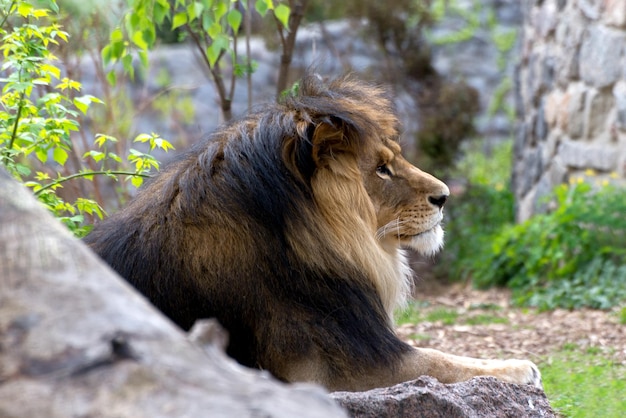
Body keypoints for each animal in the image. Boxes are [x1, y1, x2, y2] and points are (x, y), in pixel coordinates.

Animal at [84, 72, 540, 392]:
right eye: (381, 169)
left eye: (393, 159)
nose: (444, 196)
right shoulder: (337, 371)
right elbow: (441, 361)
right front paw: (519, 366)